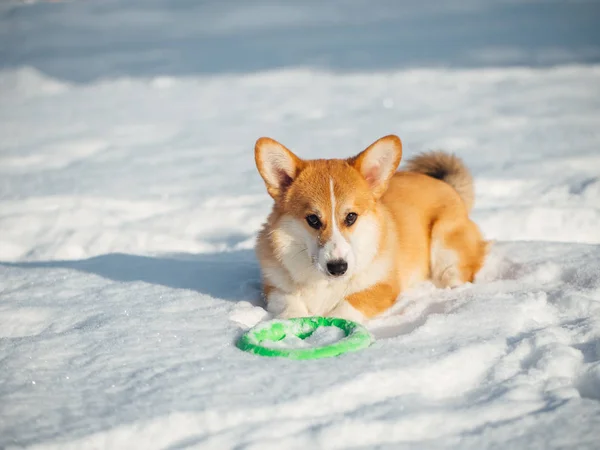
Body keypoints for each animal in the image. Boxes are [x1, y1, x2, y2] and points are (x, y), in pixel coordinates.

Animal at [253, 134, 488, 324]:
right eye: (313, 219)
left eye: (351, 217)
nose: (338, 268)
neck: (324, 283)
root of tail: (448, 187)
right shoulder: (275, 288)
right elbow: (289, 304)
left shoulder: (383, 286)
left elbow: (348, 305)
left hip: (444, 243)